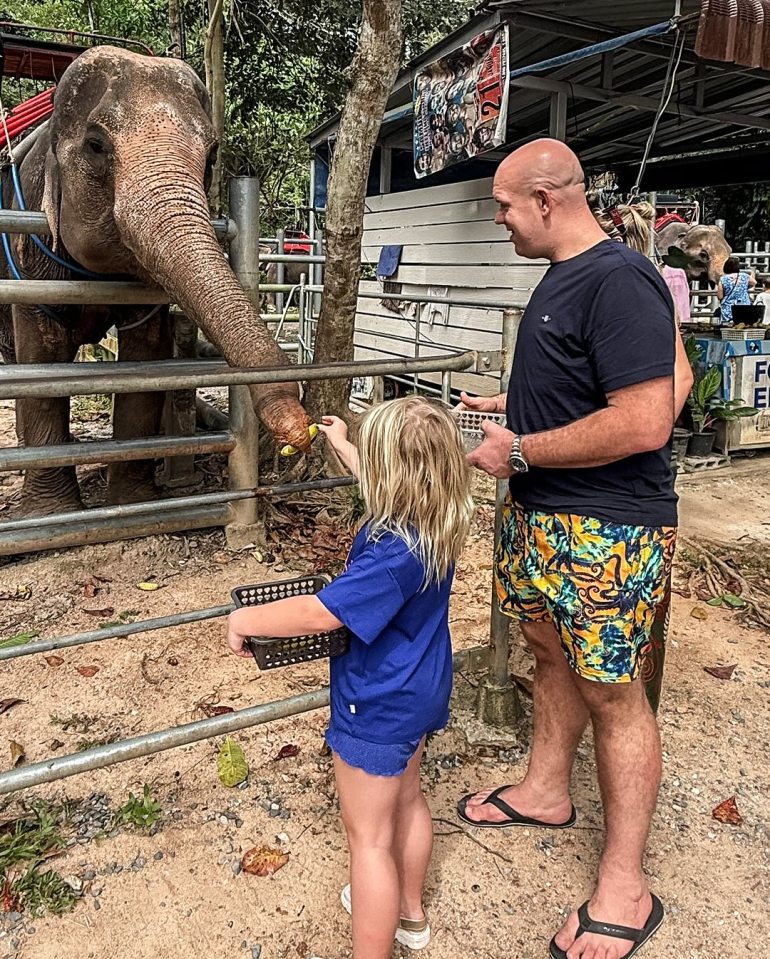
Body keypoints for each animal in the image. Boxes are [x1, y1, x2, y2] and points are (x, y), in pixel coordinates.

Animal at [0, 46, 312, 516]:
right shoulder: (28, 253)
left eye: (212, 154)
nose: (300, 426)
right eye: (96, 145)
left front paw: (136, 503)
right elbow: (40, 366)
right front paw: (52, 515)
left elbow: (146, 361)